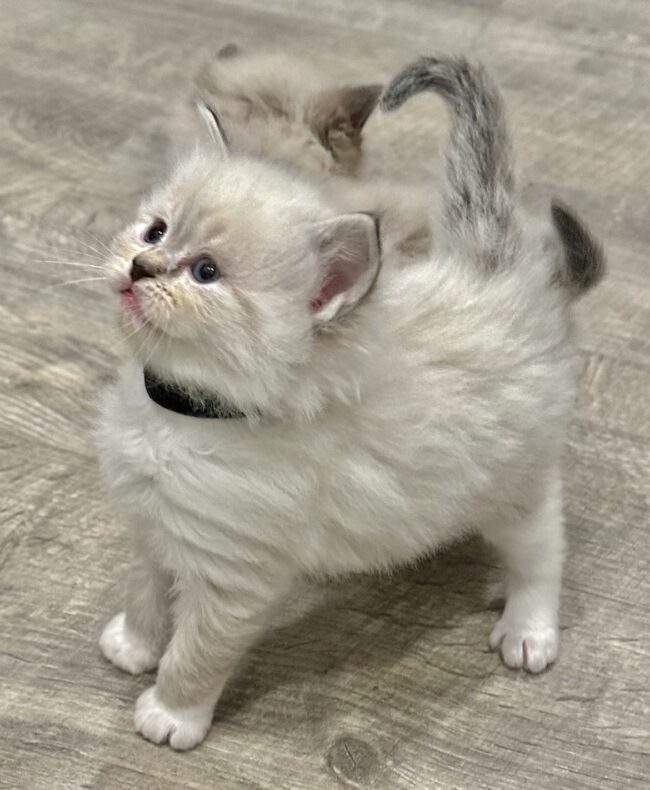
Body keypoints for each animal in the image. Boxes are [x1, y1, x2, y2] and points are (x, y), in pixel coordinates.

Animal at [97, 55, 604, 750]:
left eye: (206, 273)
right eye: (156, 229)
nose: (142, 265)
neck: (179, 416)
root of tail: (493, 271)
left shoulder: (233, 580)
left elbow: (196, 653)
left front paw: (172, 715)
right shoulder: (153, 529)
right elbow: (143, 592)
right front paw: (132, 644)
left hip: (513, 487)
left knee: (544, 544)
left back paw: (528, 629)